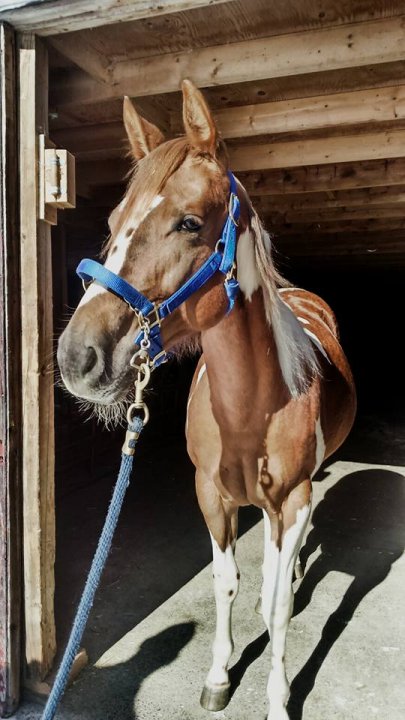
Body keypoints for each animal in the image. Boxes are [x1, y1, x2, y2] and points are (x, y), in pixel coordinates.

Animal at [57, 79, 356, 720]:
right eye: (114, 219)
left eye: (190, 222)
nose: (77, 357)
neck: (250, 409)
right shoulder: (212, 495)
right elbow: (226, 583)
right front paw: (220, 675)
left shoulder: (293, 497)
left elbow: (277, 607)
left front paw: (277, 698)